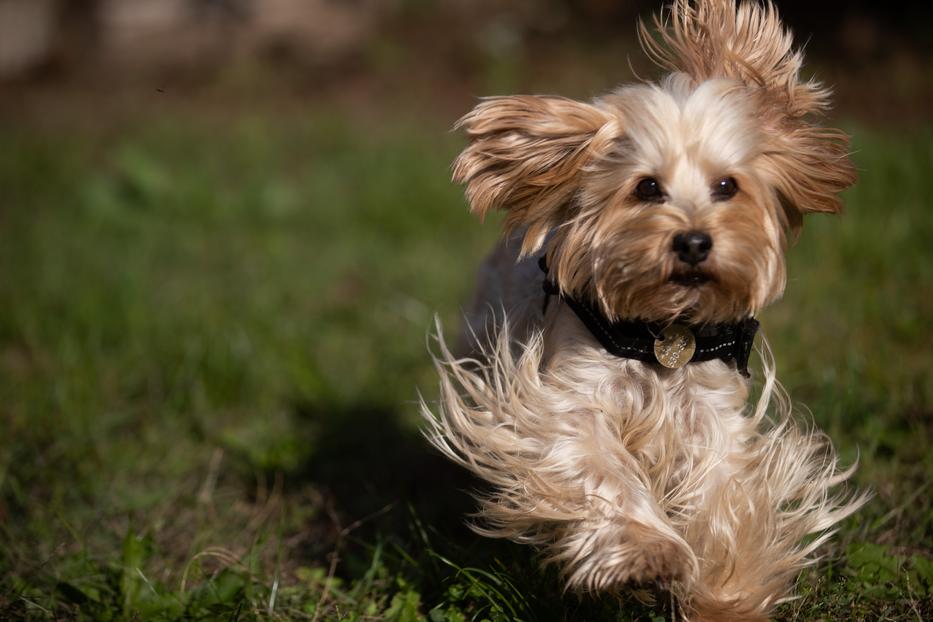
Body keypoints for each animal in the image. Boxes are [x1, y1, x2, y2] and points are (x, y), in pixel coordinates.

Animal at [422, 2, 868, 620]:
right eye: (646, 188)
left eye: (727, 185)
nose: (694, 241)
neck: (661, 334)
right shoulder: (568, 400)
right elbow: (596, 471)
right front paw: (648, 555)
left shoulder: (711, 415)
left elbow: (723, 502)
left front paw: (724, 594)